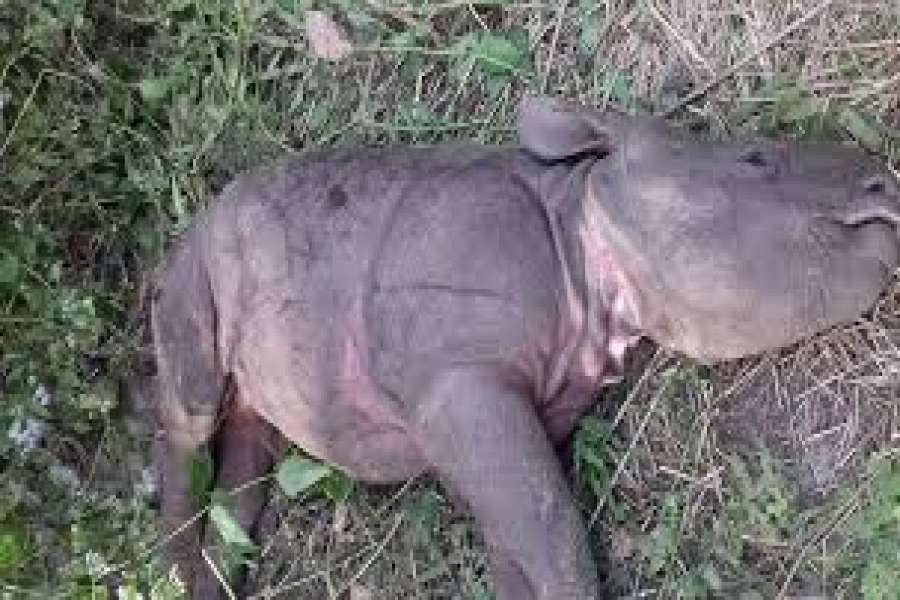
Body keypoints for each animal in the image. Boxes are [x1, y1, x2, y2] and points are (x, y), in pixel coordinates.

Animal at [151, 97, 900, 599]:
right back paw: (174, 570)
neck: (584, 231)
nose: (884, 184)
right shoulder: (460, 378)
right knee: (191, 402)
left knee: (250, 444)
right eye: (757, 159)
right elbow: (555, 534)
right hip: (197, 254)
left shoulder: (499, 407)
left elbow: (521, 540)